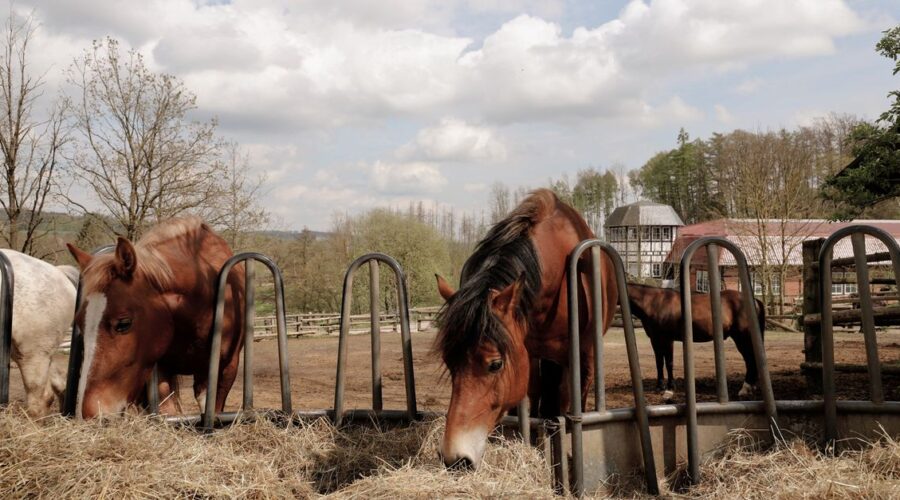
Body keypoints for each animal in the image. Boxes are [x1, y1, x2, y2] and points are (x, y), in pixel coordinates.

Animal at [433, 189, 618, 469]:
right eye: (449, 362)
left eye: (495, 364)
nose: (455, 459)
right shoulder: (525, 354)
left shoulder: (579, 357)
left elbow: (568, 407)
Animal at [625, 283, 765, 399]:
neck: (655, 303)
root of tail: (754, 301)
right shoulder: (655, 339)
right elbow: (659, 363)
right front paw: (659, 387)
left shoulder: (667, 339)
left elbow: (669, 363)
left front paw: (670, 389)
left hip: (742, 338)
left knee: (750, 359)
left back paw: (745, 389)